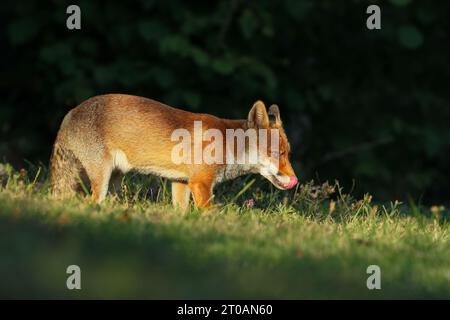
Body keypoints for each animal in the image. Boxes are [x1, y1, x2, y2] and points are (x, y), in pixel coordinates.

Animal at [51, 94, 298, 210]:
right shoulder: (200, 182)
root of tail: (70, 113)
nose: (295, 180)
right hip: (101, 178)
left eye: (287, 153)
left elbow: (181, 212)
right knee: (90, 201)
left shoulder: (181, 182)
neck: (228, 144)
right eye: (277, 153)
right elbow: (209, 213)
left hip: (115, 179)